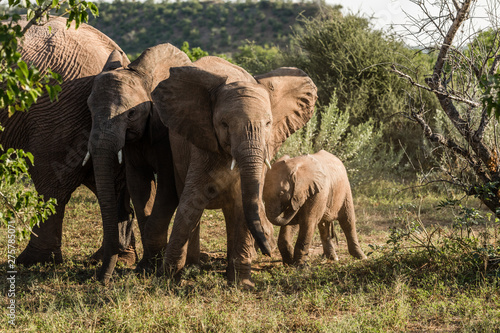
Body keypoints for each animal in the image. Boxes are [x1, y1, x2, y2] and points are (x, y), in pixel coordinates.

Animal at [84, 43, 199, 272]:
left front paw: (152, 267)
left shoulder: (165, 133)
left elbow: (167, 187)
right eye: (90, 110)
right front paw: (146, 267)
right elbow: (139, 187)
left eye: (131, 114)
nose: (99, 277)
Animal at [151, 57, 316, 286]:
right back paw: (193, 267)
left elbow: (242, 203)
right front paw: (166, 281)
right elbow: (191, 201)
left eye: (268, 123)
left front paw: (242, 284)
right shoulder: (202, 142)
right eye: (224, 124)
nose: (267, 249)